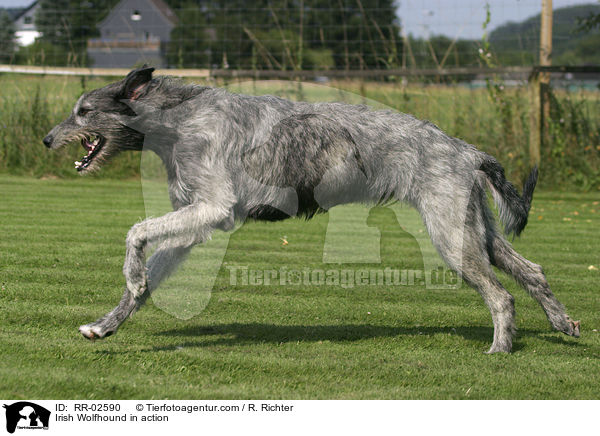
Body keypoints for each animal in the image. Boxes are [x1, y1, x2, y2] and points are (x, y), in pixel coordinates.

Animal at [41, 68, 576, 354]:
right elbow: (149, 270)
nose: (46, 139)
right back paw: (562, 322)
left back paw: (500, 347)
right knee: (532, 270)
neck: (180, 120)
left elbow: (135, 231)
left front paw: (132, 276)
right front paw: (108, 322)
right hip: (477, 231)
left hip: (451, 238)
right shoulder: (194, 223)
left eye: (84, 112)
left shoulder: (214, 208)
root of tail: (467, 150)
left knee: (501, 295)